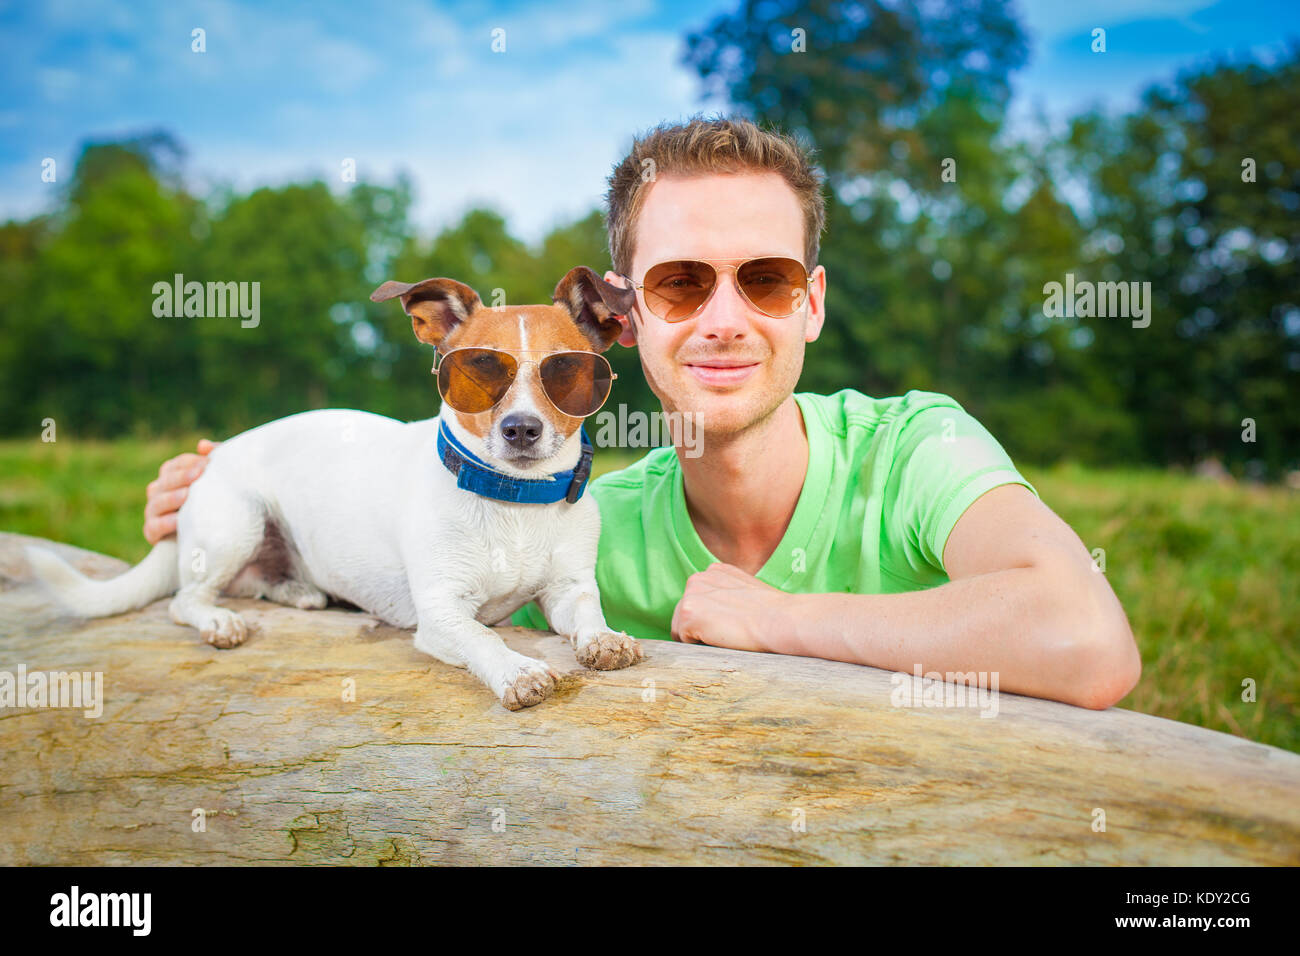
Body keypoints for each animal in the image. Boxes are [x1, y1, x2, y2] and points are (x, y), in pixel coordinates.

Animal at [22, 265, 642, 707]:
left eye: (567, 372)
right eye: (476, 372)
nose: (521, 429)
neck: (513, 496)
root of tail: (215, 456)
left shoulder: (566, 589)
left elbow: (586, 612)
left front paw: (603, 639)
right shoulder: (442, 613)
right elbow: (484, 638)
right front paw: (516, 671)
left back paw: (297, 590)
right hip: (237, 523)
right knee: (185, 600)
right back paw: (220, 620)